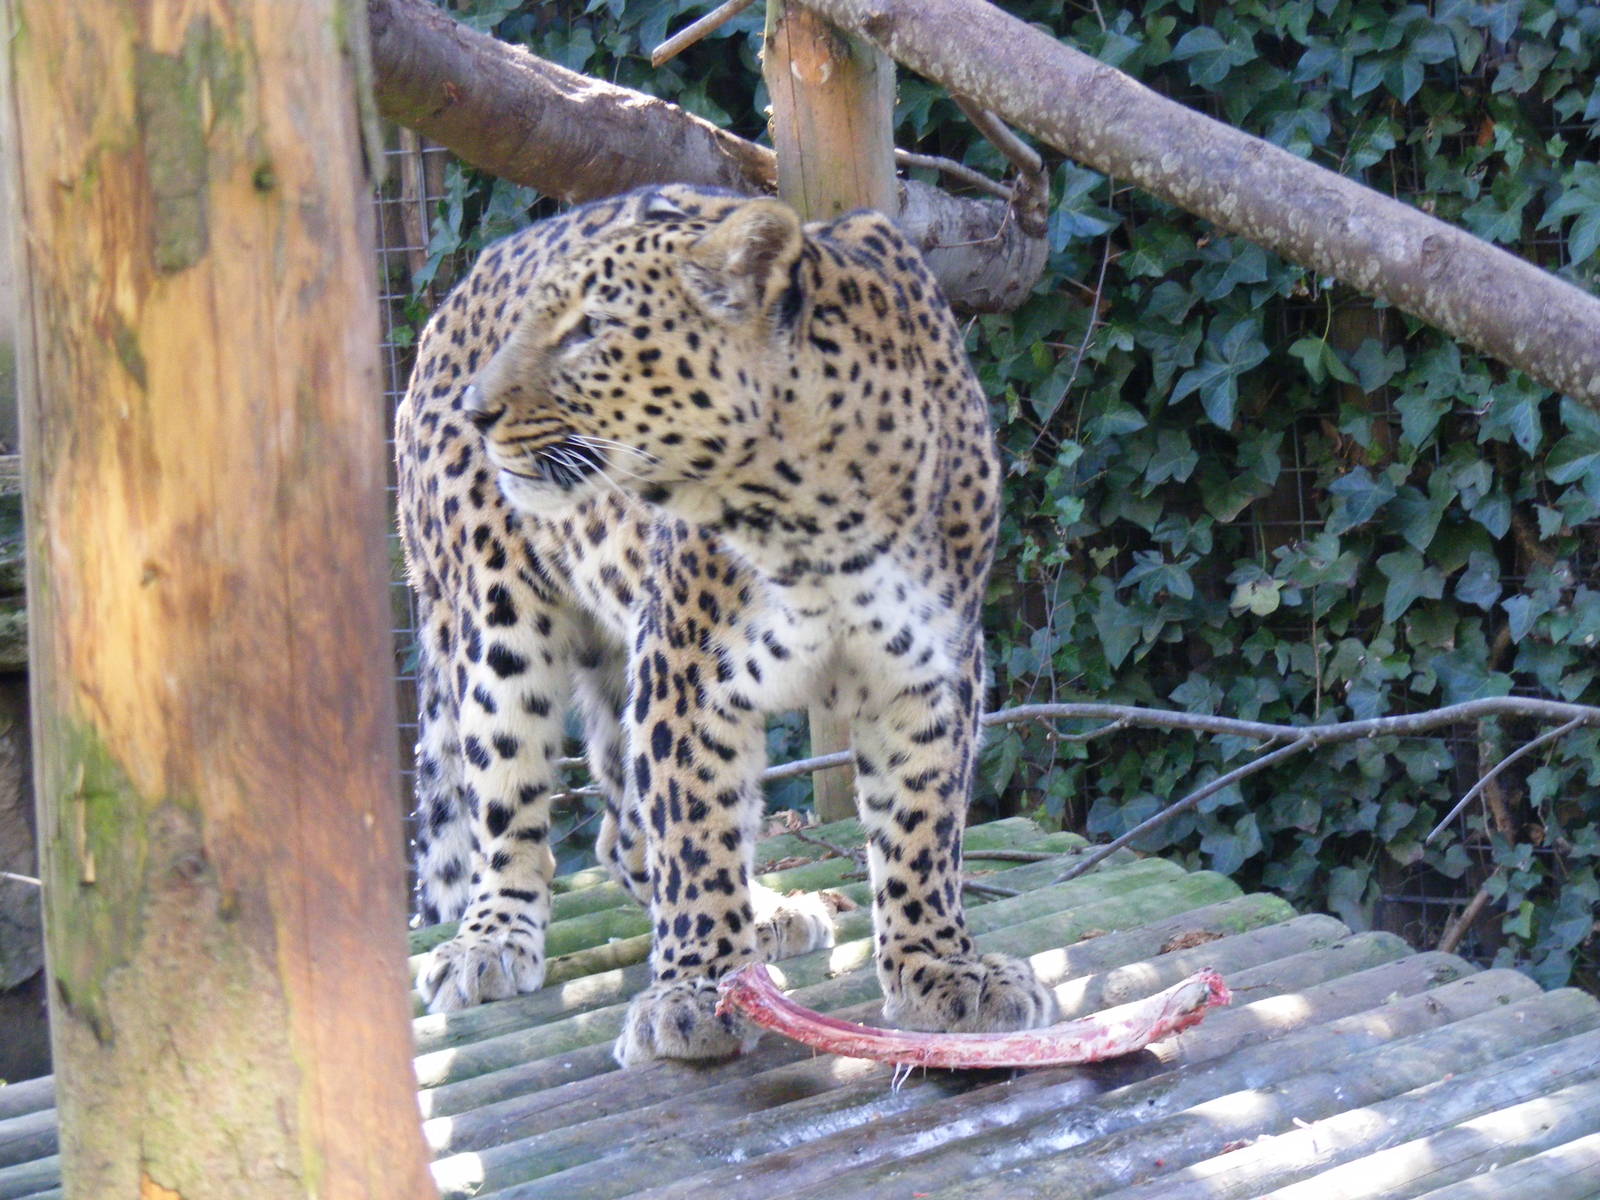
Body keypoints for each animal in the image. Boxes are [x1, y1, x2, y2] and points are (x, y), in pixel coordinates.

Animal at [396, 182, 1057, 1067]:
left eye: (589, 329)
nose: (477, 409)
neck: (819, 513)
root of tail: (449, 304)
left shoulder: (930, 672)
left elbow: (921, 827)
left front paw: (941, 969)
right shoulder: (684, 664)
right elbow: (694, 825)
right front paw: (697, 987)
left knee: (619, 827)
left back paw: (768, 912)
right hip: (495, 620)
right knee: (512, 797)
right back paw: (491, 939)